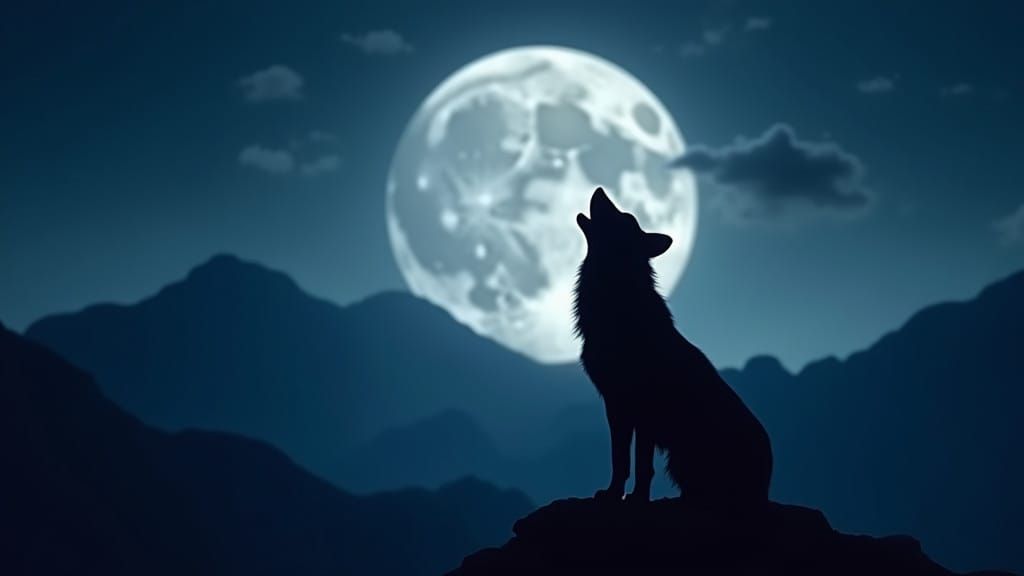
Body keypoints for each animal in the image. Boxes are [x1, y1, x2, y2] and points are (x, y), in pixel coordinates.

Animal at [574, 187, 773, 505]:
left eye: (623, 217)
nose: (600, 190)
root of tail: (765, 489)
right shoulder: (616, 405)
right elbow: (620, 459)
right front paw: (614, 493)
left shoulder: (641, 407)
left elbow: (641, 463)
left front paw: (637, 498)